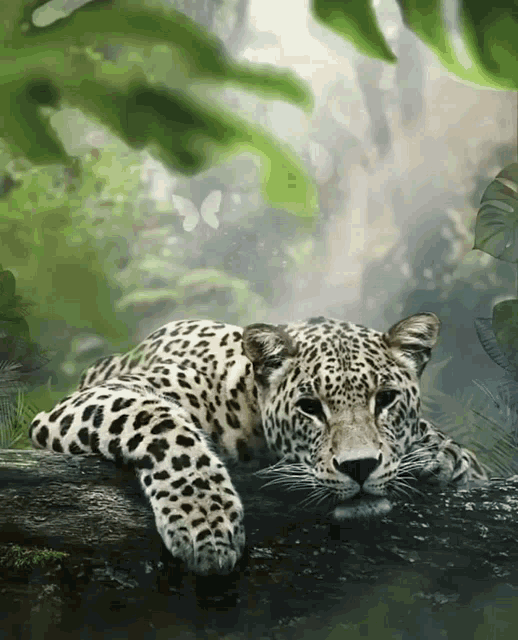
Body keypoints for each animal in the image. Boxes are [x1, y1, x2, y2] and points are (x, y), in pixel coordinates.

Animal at [29, 312, 488, 575]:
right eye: (310, 407)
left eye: (386, 399)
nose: (359, 466)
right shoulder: (96, 398)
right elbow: (161, 422)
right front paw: (205, 521)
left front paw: (445, 456)